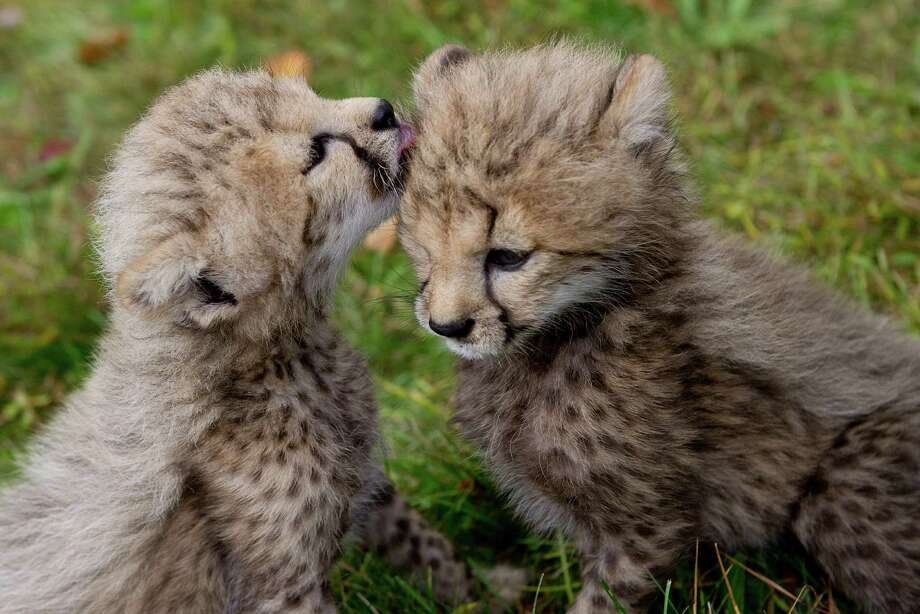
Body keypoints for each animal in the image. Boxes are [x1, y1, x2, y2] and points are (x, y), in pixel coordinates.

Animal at [0, 67, 512, 613]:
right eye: (316, 154)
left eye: (312, 95)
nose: (384, 110)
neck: (273, 362)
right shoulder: (284, 590)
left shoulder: (368, 487)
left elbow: (432, 552)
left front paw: (488, 595)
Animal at [398, 42, 920, 613]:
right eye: (424, 245)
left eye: (508, 257)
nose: (447, 325)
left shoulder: (644, 528)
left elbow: (604, 597)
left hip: (844, 497)